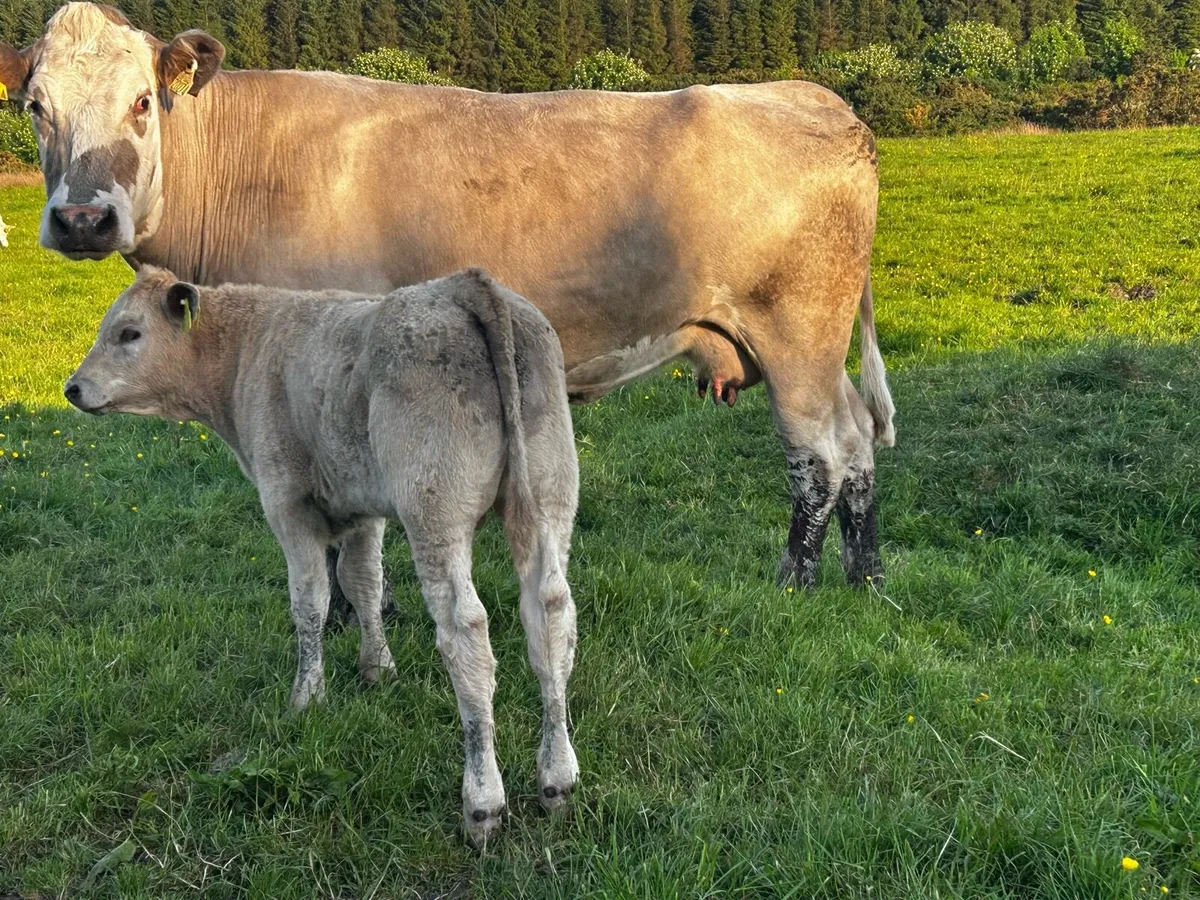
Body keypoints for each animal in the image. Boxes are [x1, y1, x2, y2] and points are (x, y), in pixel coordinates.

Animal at [1, 2, 895, 592]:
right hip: (809, 346)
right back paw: (866, 574)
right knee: (857, 443)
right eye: (35, 107)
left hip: (797, 333)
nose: (82, 217)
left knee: (821, 453)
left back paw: (799, 578)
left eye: (141, 102)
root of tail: (814, 97)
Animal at [64, 266, 581, 845]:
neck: (247, 349)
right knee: (551, 613)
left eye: (129, 332)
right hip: (549, 494)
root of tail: (464, 284)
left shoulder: (288, 503)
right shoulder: (363, 508)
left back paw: (483, 801)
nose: (72, 388)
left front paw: (307, 697)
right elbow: (363, 584)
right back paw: (557, 779)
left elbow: (310, 601)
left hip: (435, 510)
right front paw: (378, 668)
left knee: (466, 631)